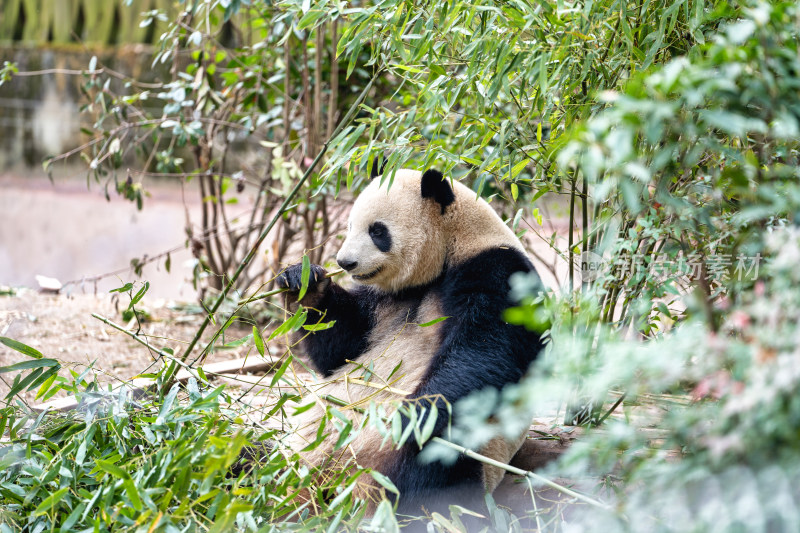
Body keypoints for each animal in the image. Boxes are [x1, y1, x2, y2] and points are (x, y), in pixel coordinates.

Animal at [276, 167, 544, 516]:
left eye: (377, 231)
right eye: (349, 226)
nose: (345, 262)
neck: (454, 246)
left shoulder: (498, 274)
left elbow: (483, 354)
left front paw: (410, 418)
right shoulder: (384, 300)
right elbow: (340, 348)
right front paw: (304, 282)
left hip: (474, 450)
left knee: (434, 471)